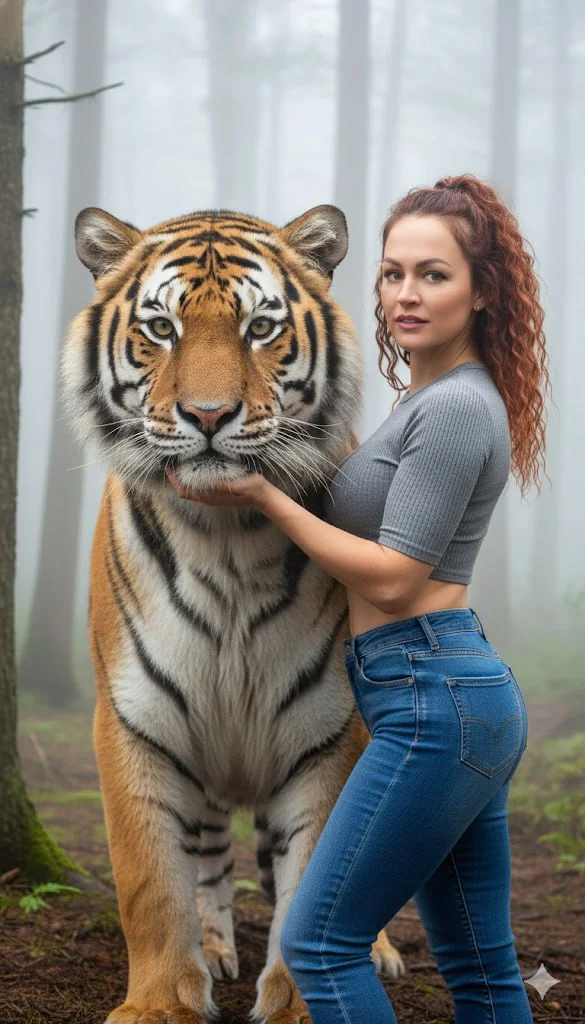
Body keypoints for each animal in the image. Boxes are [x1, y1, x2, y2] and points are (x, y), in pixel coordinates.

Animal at [61, 204, 406, 1024]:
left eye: (260, 328)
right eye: (161, 328)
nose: (209, 415)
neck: (226, 540)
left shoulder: (330, 726)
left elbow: (317, 875)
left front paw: (302, 1006)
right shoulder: (134, 718)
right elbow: (152, 881)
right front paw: (160, 1003)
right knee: (210, 858)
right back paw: (216, 948)